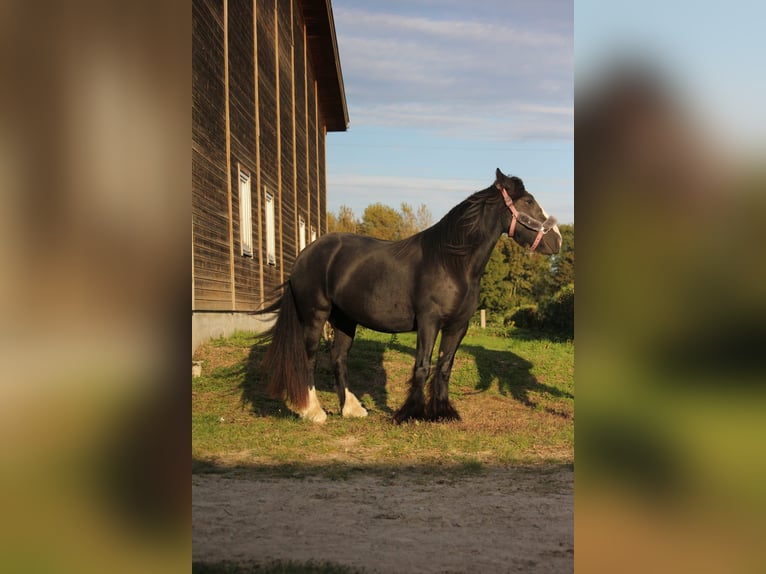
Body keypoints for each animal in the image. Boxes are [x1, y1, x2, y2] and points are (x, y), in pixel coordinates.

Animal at [260, 169, 564, 426]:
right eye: (528, 201)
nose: (558, 240)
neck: (452, 262)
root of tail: (305, 254)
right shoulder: (429, 322)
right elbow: (422, 366)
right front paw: (409, 413)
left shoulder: (458, 326)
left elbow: (444, 367)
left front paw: (443, 412)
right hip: (315, 315)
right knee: (309, 359)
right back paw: (313, 411)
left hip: (345, 319)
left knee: (338, 358)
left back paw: (351, 409)